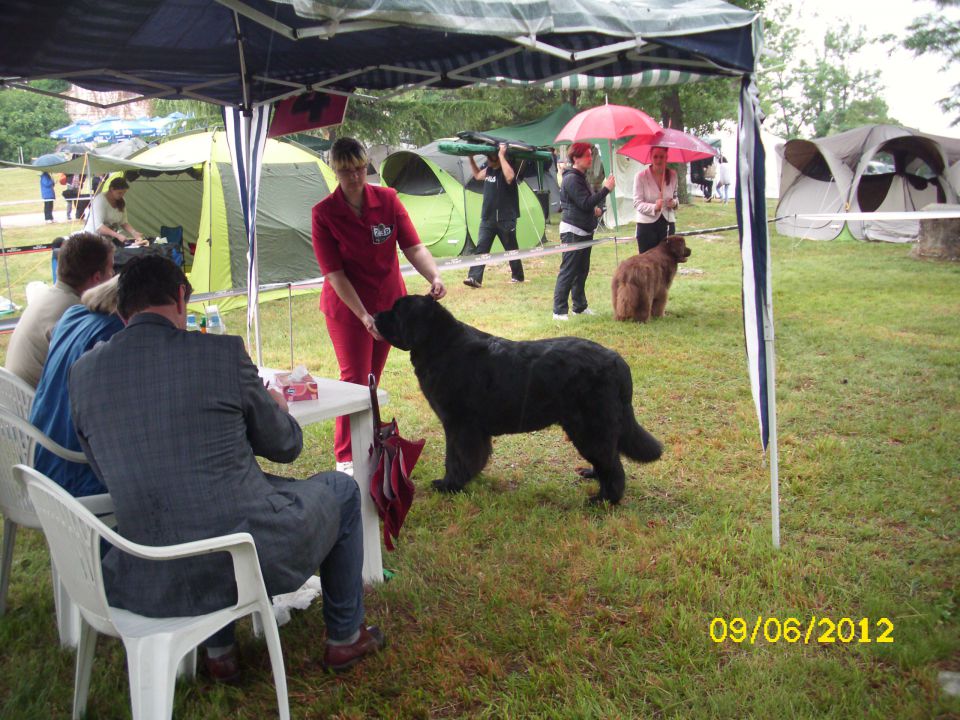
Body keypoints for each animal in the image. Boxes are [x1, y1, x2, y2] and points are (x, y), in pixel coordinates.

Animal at [374, 296, 660, 504]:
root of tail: (617, 360)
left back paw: (603, 500)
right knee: (608, 456)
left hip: (590, 426)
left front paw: (449, 485)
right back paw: (593, 477)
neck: (439, 345)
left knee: (612, 464)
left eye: (396, 311)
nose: (375, 315)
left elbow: (456, 457)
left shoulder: (459, 425)